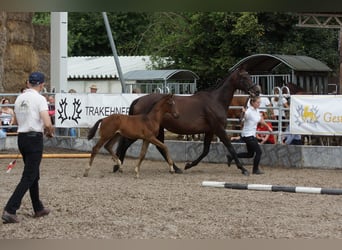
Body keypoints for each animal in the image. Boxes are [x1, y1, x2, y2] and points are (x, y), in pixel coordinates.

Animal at [114, 67, 260, 175]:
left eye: (249, 76)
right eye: (244, 77)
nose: (257, 91)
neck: (215, 101)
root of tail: (138, 100)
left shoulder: (210, 131)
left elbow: (206, 150)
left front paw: (189, 165)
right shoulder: (219, 129)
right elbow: (230, 147)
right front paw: (243, 169)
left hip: (157, 130)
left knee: (159, 146)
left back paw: (176, 168)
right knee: (127, 144)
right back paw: (117, 166)